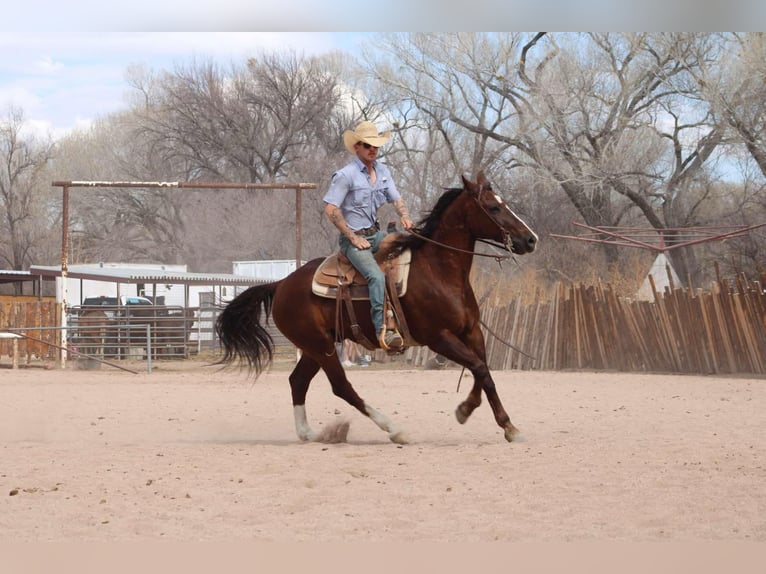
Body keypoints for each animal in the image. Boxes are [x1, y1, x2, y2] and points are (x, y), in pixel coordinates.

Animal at [218, 174, 540, 446]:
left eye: (503, 203)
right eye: (493, 207)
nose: (531, 239)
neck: (439, 271)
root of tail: (281, 283)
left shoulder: (471, 332)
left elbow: (483, 372)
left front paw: (505, 425)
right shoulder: (439, 337)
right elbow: (478, 368)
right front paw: (470, 411)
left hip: (317, 346)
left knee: (297, 381)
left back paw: (309, 433)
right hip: (320, 346)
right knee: (341, 386)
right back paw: (394, 429)